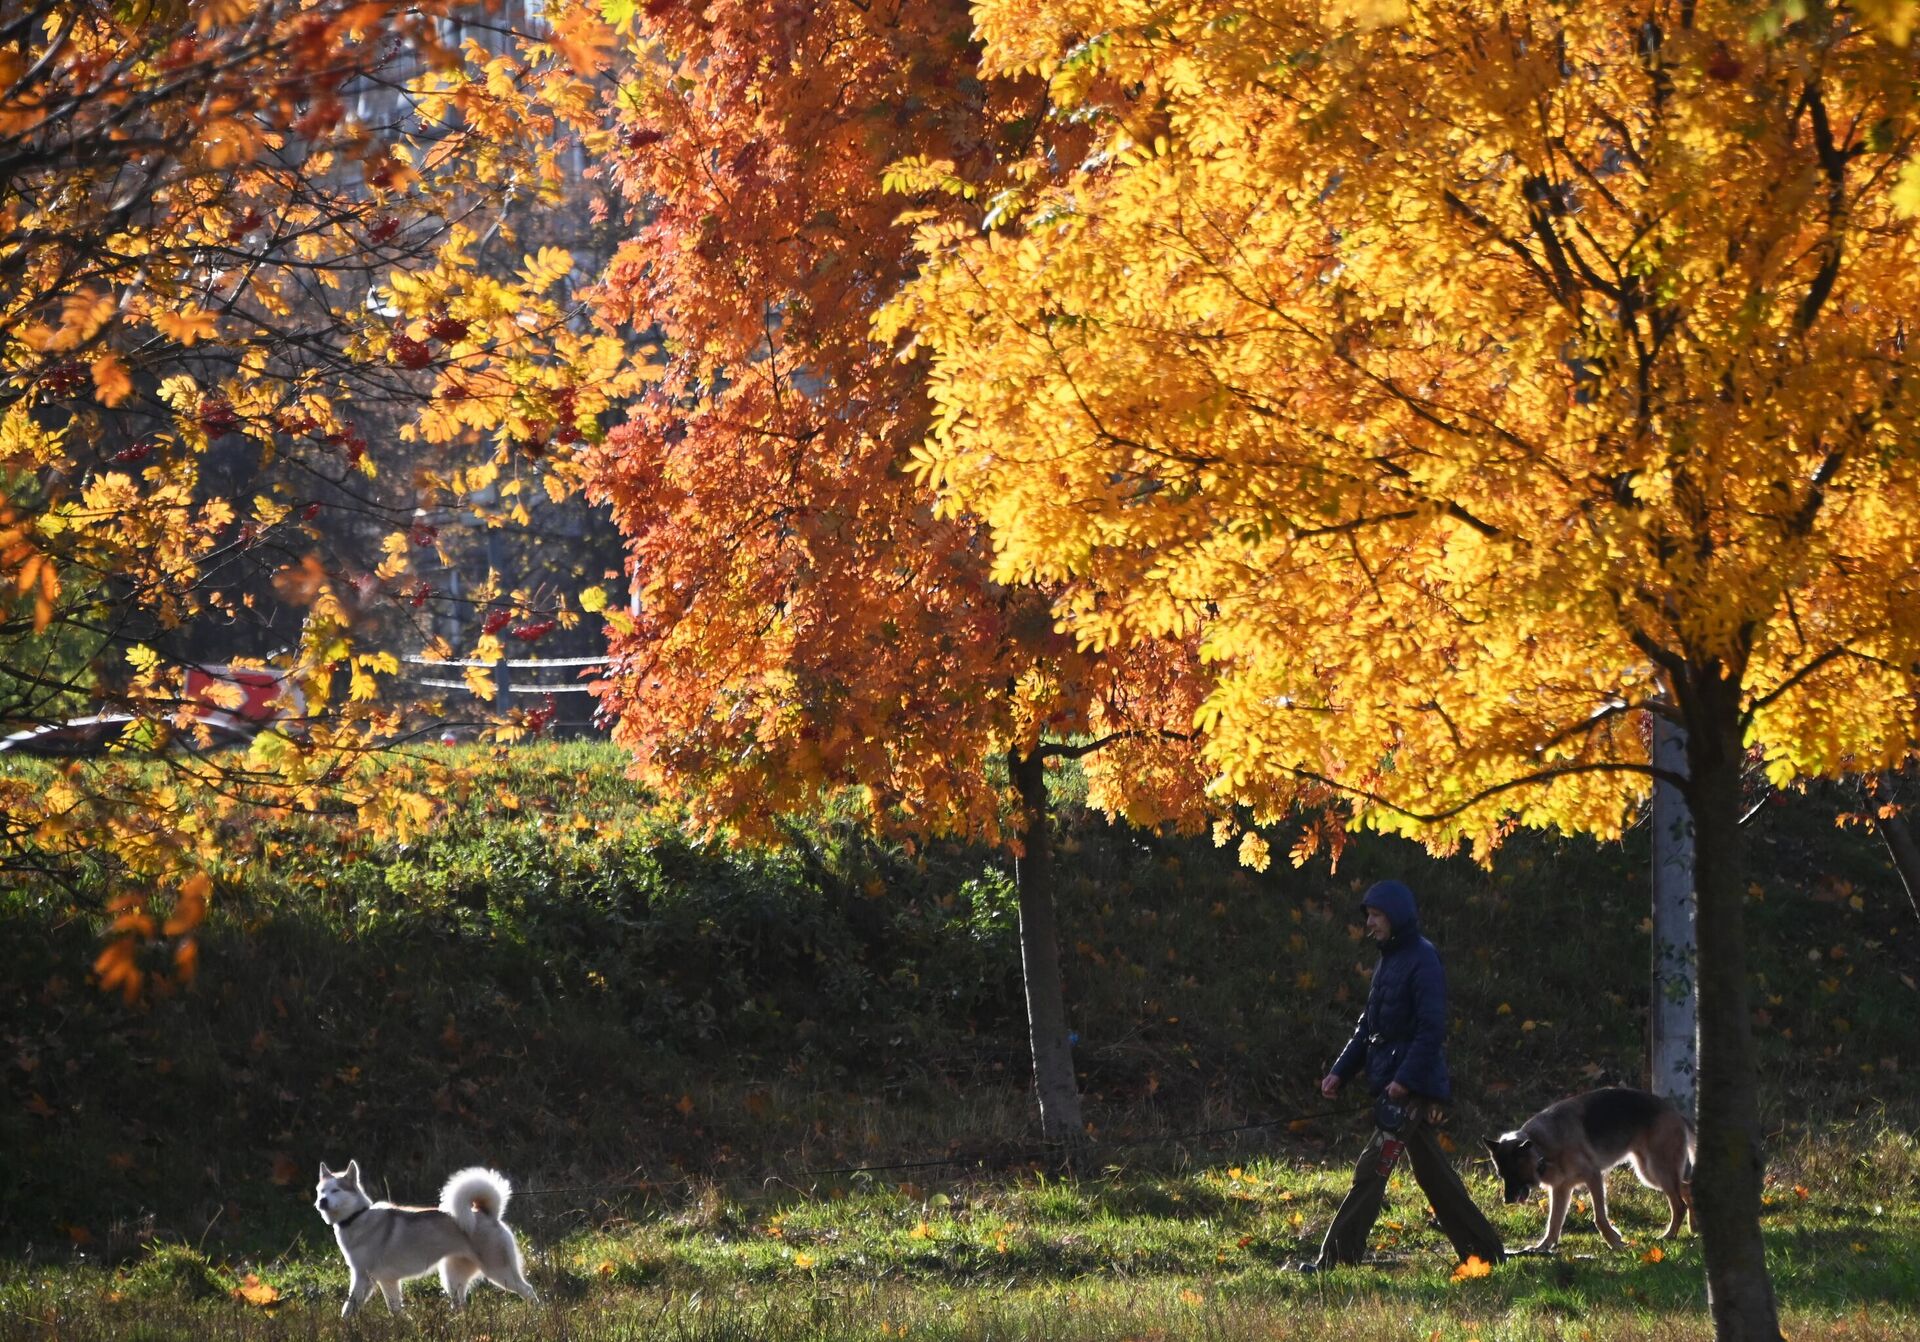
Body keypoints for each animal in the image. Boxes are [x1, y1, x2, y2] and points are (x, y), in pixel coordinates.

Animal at [312, 1159, 541, 1320]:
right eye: (320, 1191)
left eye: (335, 1190)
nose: (321, 1201)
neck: (357, 1217)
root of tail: (486, 1213)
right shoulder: (387, 1281)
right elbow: (392, 1309)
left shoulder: (363, 1278)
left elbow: (349, 1306)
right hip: (452, 1279)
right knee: (461, 1305)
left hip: (500, 1273)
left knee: (528, 1290)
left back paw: (537, 1315)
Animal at [1482, 1090, 1697, 1251]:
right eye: (1502, 1176)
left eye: (1515, 1174)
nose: (1507, 1201)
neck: (1541, 1149)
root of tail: (1675, 1112)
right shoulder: (1561, 1190)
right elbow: (1554, 1221)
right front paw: (1544, 1246)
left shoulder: (1593, 1177)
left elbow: (1599, 1217)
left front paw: (1614, 1242)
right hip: (1650, 1173)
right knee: (1687, 1188)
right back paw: (1694, 1227)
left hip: (1656, 1170)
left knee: (1679, 1204)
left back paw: (1670, 1235)